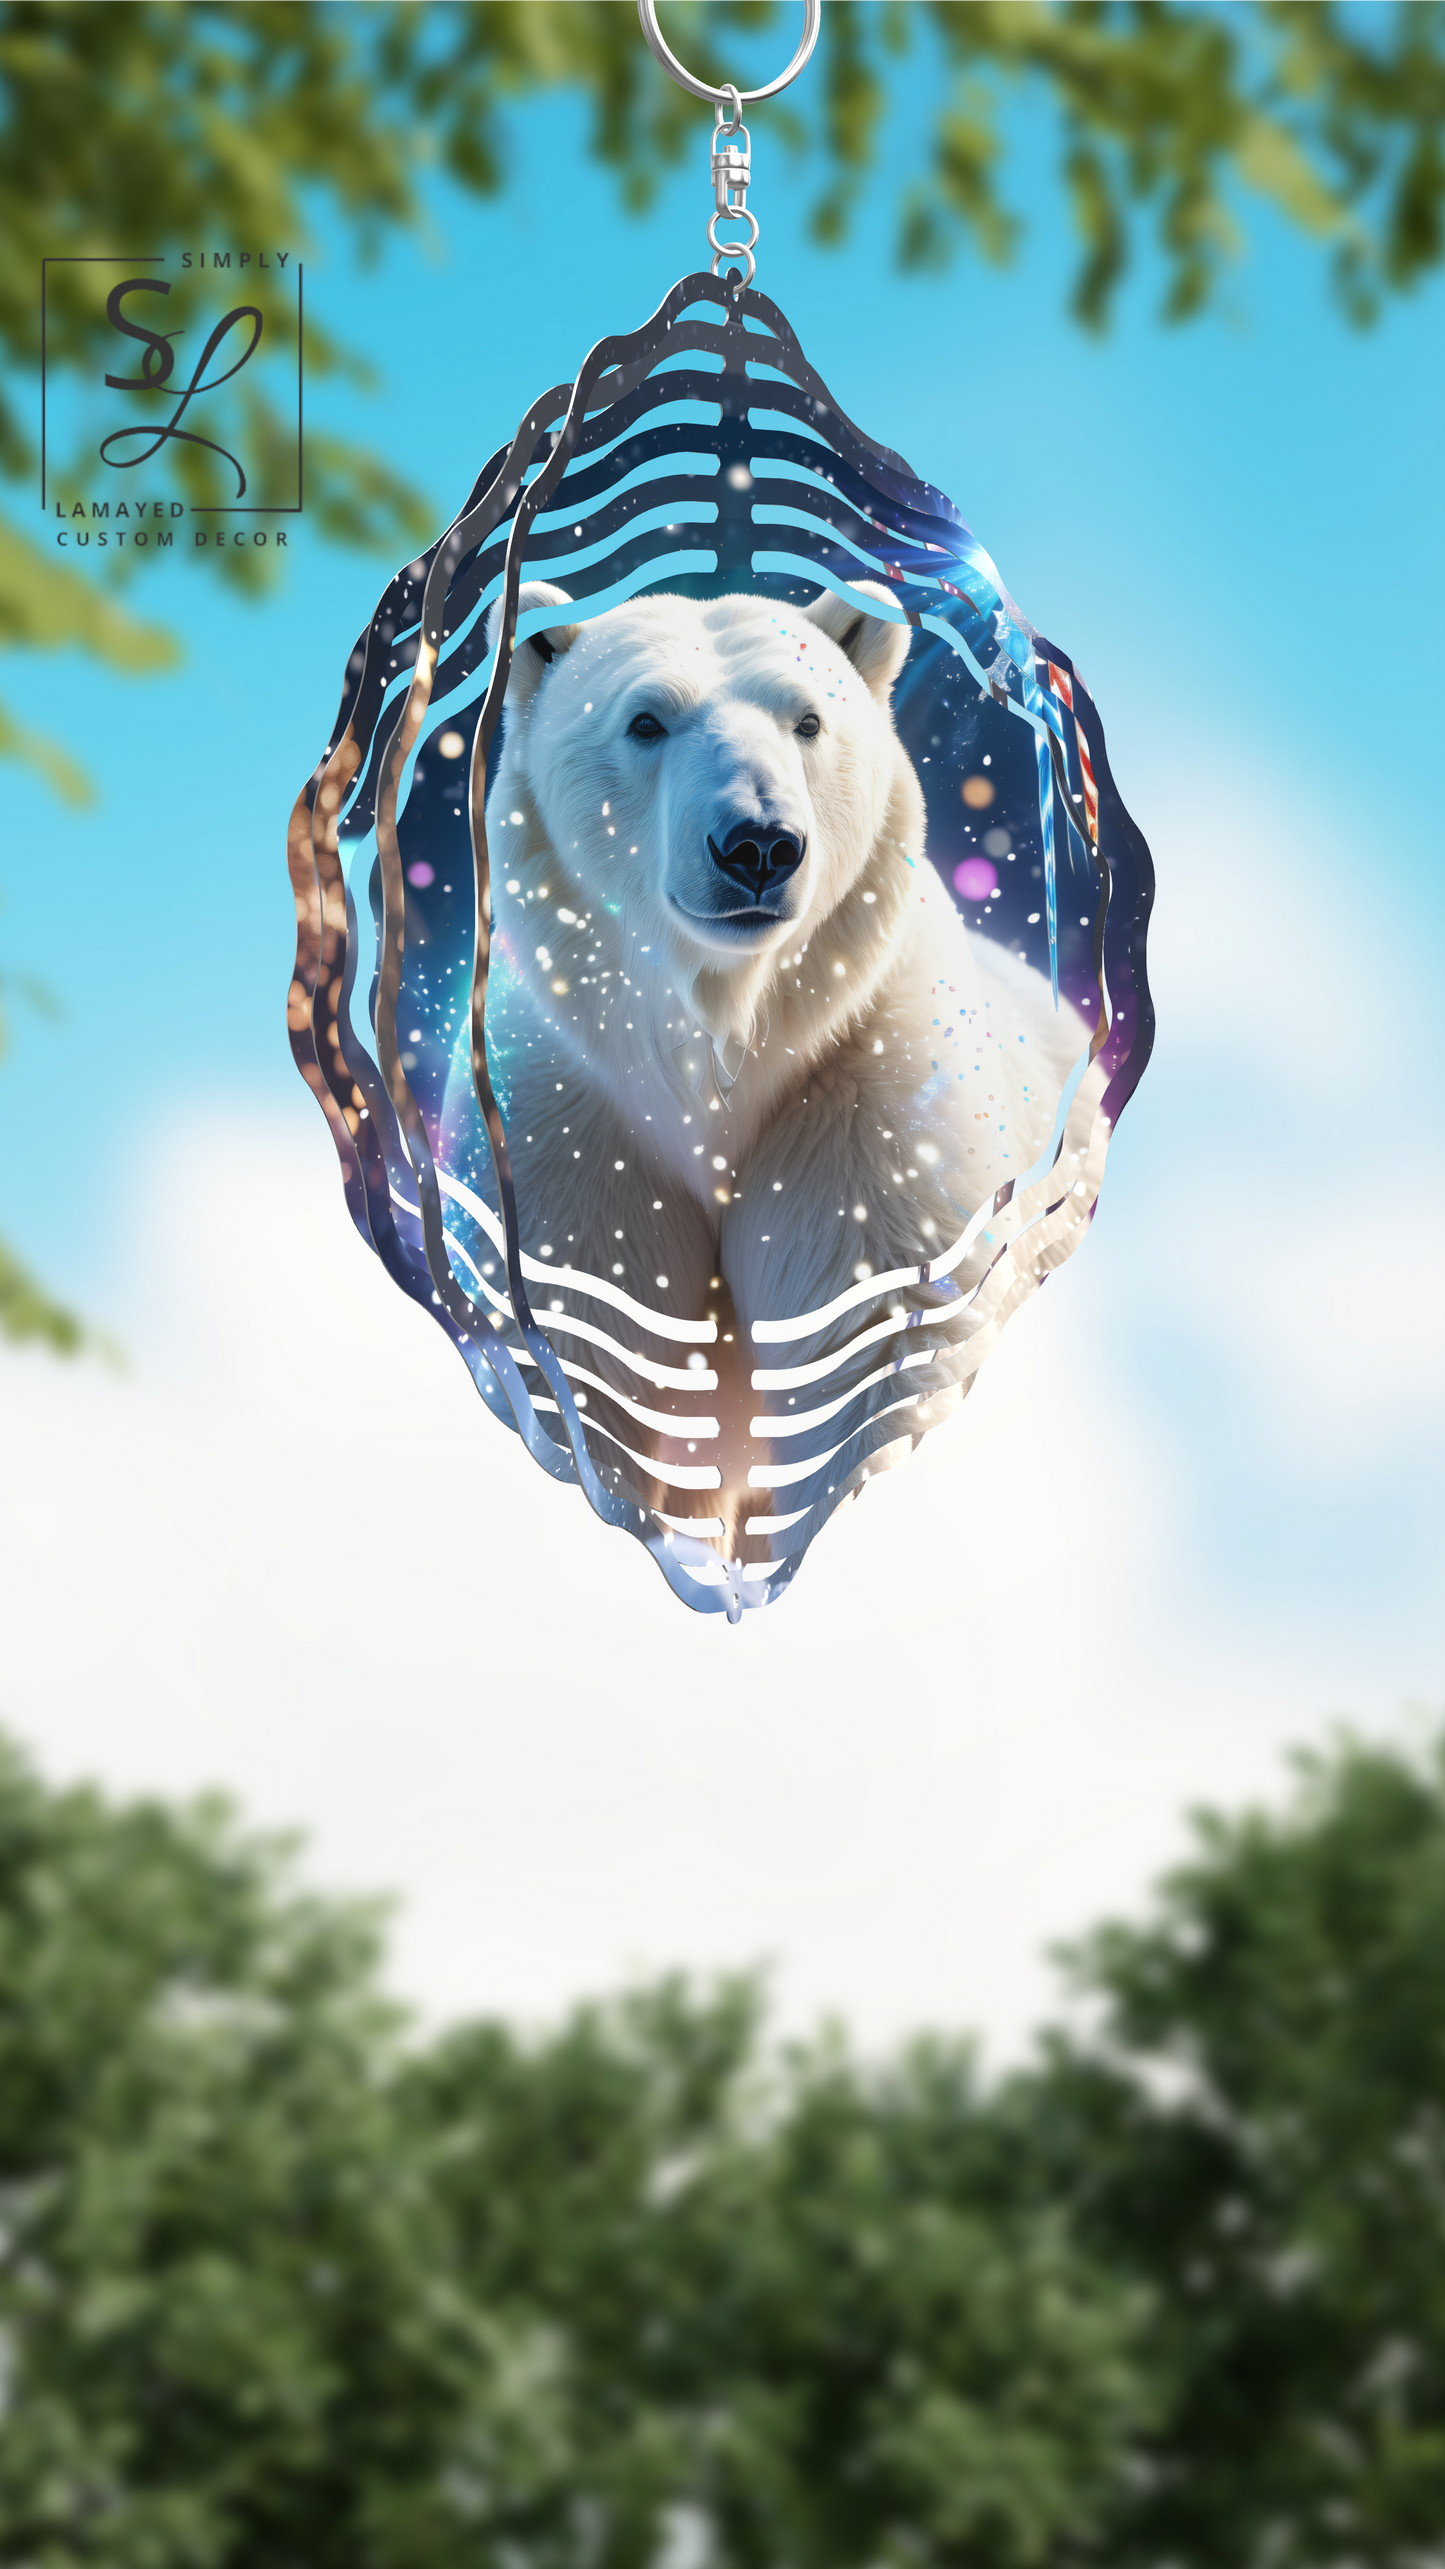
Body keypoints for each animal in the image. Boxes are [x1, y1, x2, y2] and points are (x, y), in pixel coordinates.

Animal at [441, 578, 1090, 1559]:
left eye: (808, 719)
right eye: (645, 720)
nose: (757, 845)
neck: (723, 1046)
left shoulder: (862, 1101)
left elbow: (870, 1349)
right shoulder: (570, 1120)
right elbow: (588, 1342)